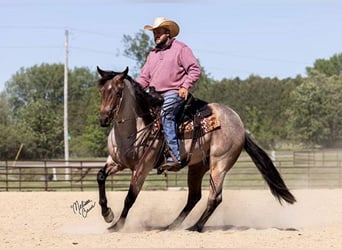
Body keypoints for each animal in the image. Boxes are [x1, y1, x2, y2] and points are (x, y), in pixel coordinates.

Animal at [95, 66, 296, 232]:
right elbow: (100, 176)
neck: (135, 128)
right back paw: (171, 226)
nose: (104, 119)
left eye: (118, 92)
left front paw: (116, 225)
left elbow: (130, 197)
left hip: (220, 164)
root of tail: (240, 125)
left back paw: (195, 227)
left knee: (215, 197)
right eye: (102, 91)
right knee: (194, 197)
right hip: (197, 166)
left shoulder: (142, 167)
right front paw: (107, 214)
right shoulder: (116, 162)